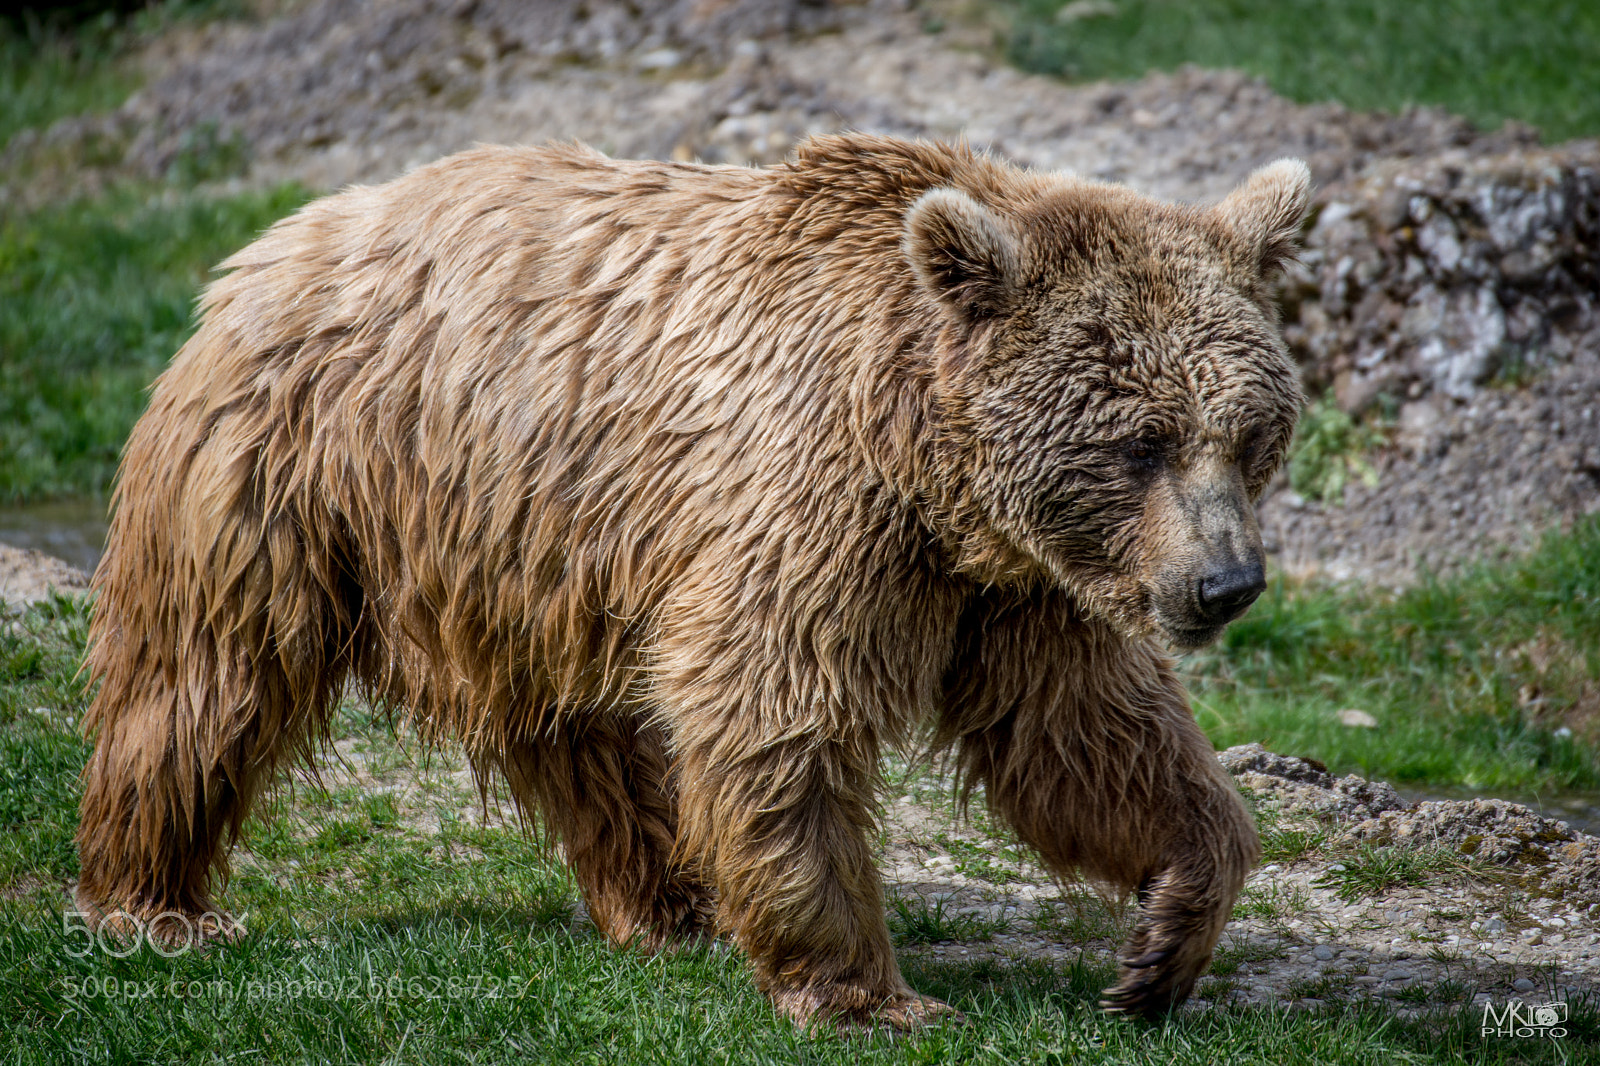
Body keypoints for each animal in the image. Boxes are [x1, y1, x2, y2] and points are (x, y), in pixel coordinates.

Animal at [75, 133, 1309, 1029]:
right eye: (1141, 440)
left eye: (1251, 434)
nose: (1225, 584)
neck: (930, 467)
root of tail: (275, 242)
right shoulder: (818, 503)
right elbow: (778, 704)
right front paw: (872, 994)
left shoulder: (1019, 587)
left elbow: (1081, 738)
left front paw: (1162, 938)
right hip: (293, 469)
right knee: (206, 673)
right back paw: (154, 901)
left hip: (522, 543)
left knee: (575, 729)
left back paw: (668, 899)